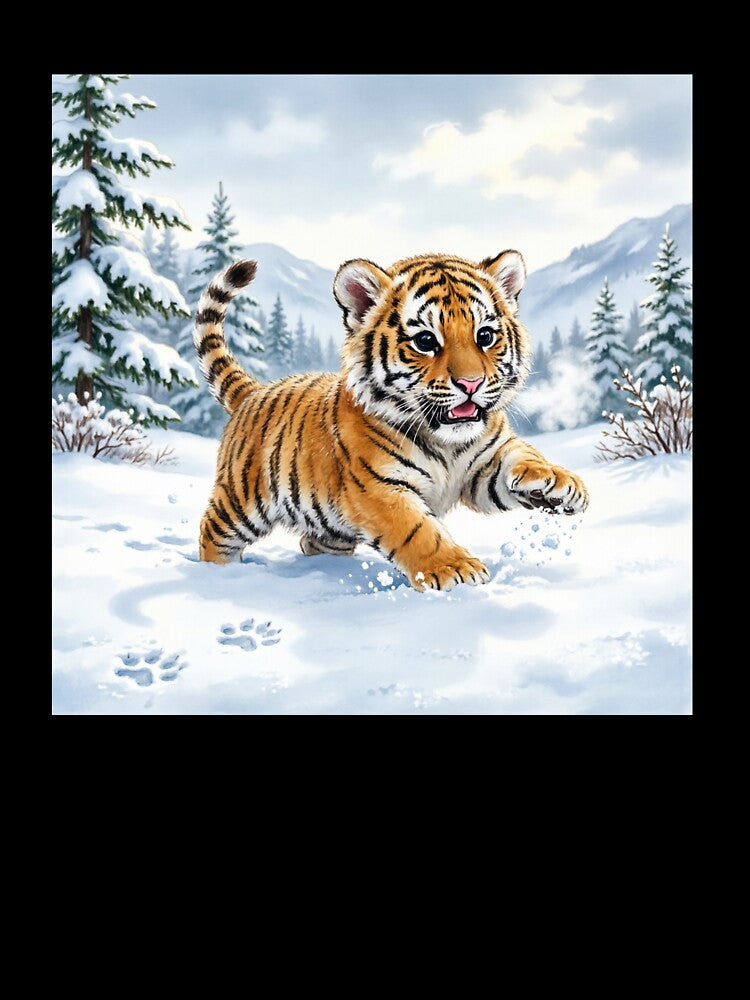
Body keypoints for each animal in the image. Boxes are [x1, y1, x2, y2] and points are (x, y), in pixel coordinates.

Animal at [194, 252, 589, 592]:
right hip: (239, 503)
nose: (471, 384)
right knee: (211, 533)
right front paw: (455, 569)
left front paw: (559, 484)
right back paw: (218, 576)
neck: (446, 442)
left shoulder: (484, 464)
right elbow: (418, 529)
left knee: (312, 542)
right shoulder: (379, 488)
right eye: (425, 341)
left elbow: (522, 455)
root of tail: (253, 391)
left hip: (329, 527)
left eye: (485, 336)